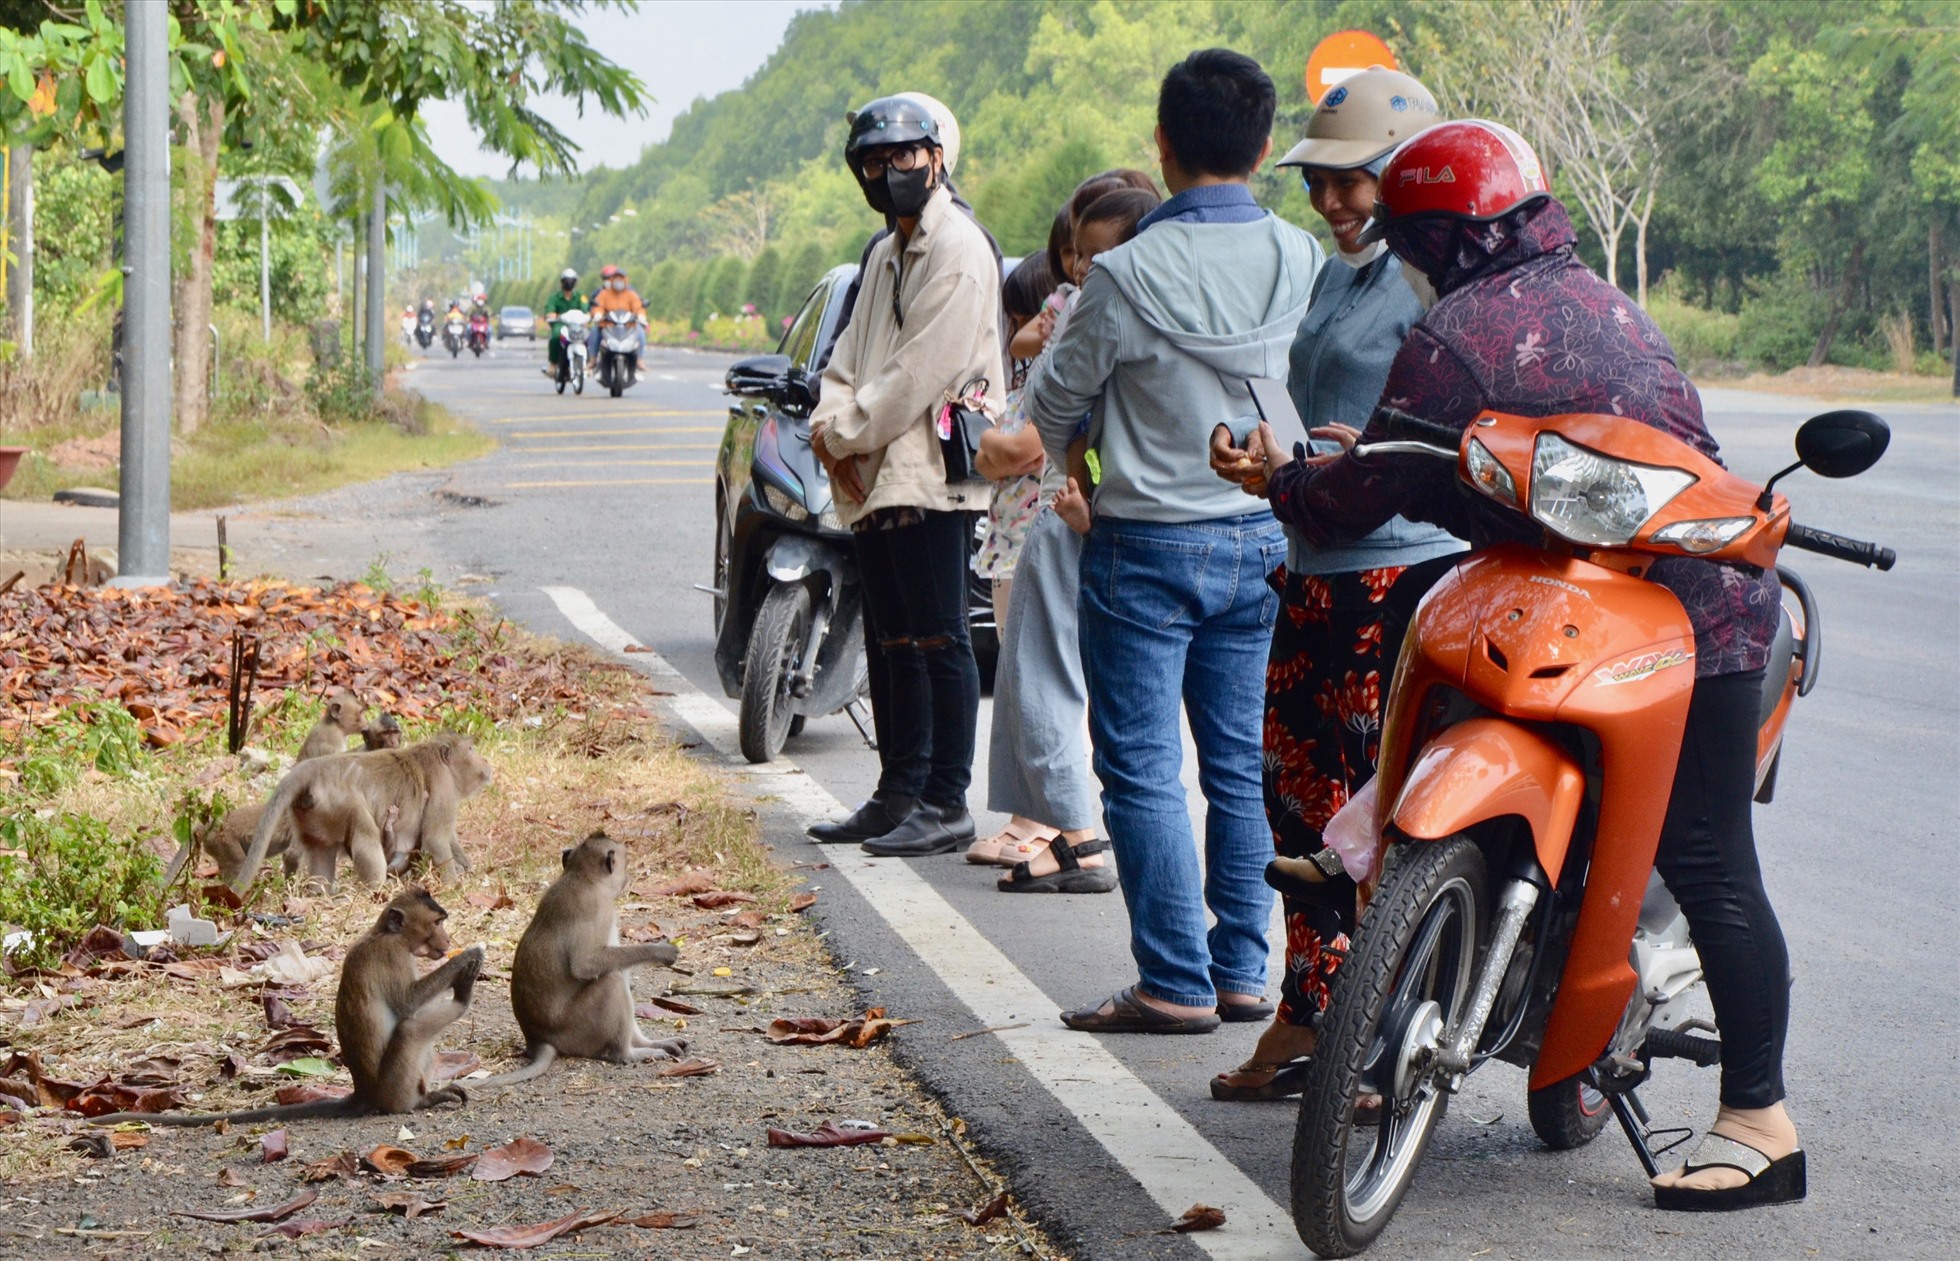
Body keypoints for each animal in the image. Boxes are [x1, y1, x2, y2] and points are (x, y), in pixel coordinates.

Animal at [476, 835, 686, 1090]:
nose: (628, 877)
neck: (582, 877)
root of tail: (537, 1039)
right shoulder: (598, 908)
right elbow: (585, 964)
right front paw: (660, 951)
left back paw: (648, 1044)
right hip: (578, 1030)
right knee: (612, 980)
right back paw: (626, 1053)